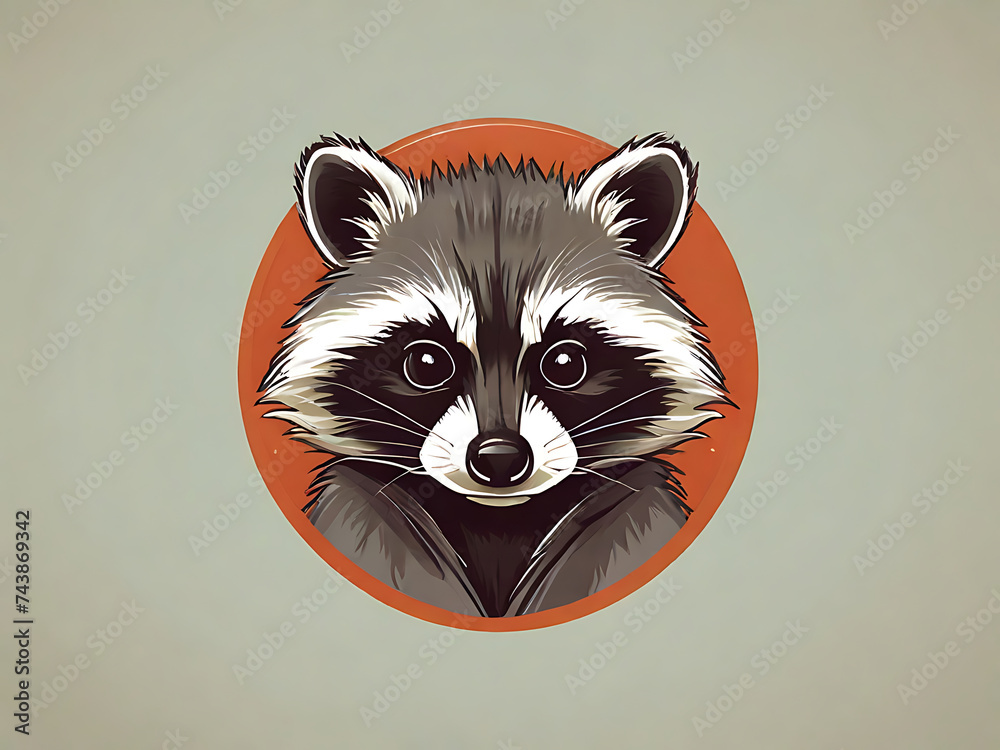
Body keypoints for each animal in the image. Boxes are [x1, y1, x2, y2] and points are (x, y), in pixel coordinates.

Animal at [258, 132, 729, 617]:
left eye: (565, 363)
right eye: (426, 363)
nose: (499, 458)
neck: (497, 523)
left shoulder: (631, 513)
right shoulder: (363, 509)